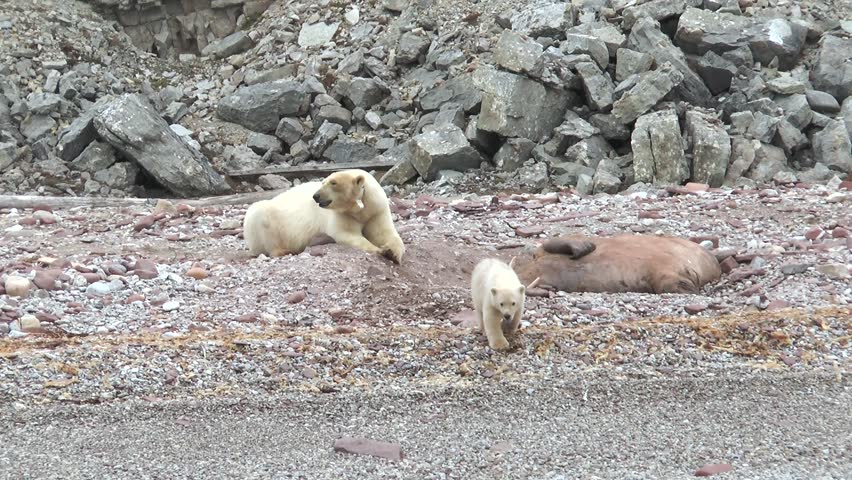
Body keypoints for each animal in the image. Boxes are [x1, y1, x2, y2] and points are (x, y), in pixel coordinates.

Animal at [242, 169, 405, 264]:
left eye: (333, 182)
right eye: (323, 182)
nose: (316, 196)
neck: (360, 209)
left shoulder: (376, 210)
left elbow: (384, 233)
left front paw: (392, 252)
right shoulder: (342, 214)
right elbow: (346, 234)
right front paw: (380, 250)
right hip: (264, 222)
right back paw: (284, 250)